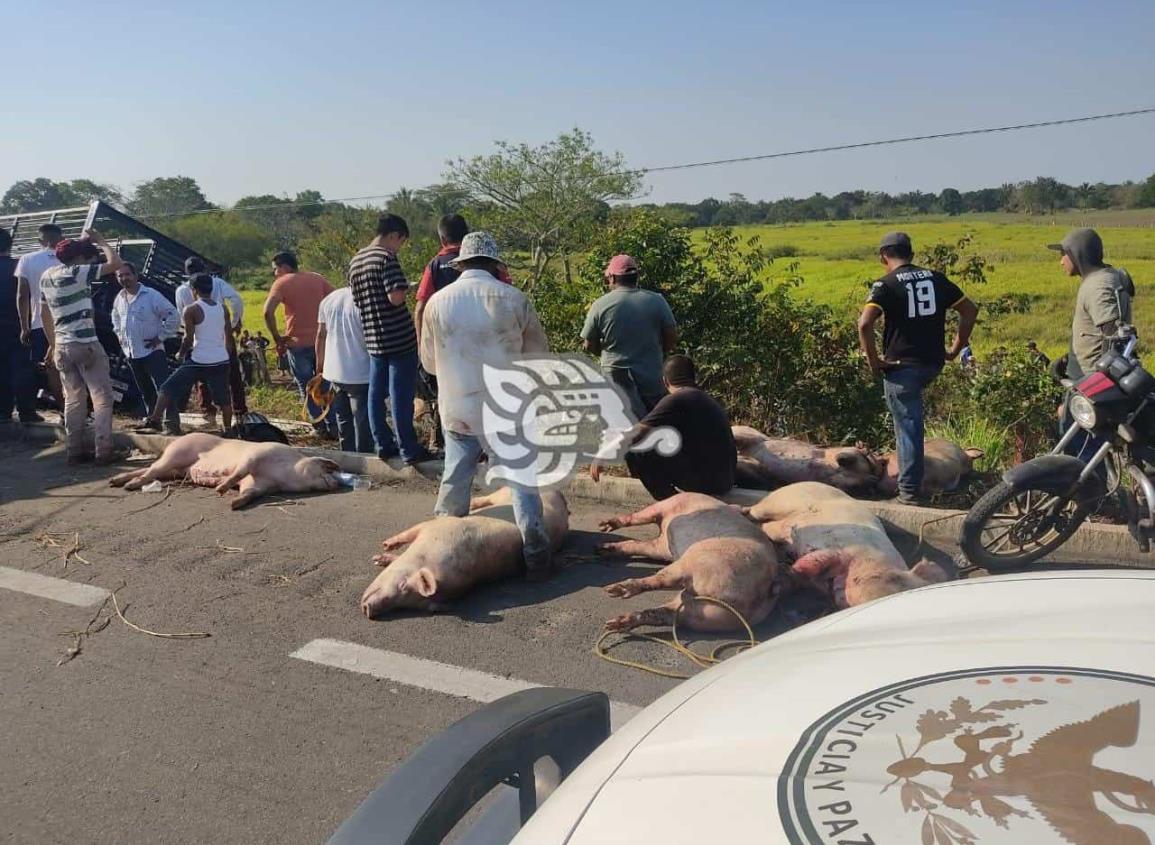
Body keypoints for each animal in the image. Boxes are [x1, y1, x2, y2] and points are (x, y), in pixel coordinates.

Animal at [106, 436, 341, 507]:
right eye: (326, 467)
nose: (337, 483)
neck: (285, 476)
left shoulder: (261, 484)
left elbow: (250, 492)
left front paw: (234, 504)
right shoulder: (257, 454)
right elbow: (239, 472)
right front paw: (220, 489)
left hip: (174, 471)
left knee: (149, 469)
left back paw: (115, 481)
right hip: (176, 453)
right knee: (151, 470)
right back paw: (127, 485)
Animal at [360, 484, 568, 618]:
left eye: (405, 603)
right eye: (403, 585)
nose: (368, 610)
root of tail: (559, 494)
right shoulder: (439, 526)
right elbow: (409, 532)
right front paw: (382, 551)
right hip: (506, 493)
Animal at [600, 489, 780, 632]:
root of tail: (767, 585)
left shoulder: (668, 505)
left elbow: (637, 518)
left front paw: (604, 526)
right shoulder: (661, 546)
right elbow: (636, 545)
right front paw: (602, 545)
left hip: (701, 562)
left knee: (661, 580)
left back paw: (614, 590)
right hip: (709, 614)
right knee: (664, 614)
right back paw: (614, 624)